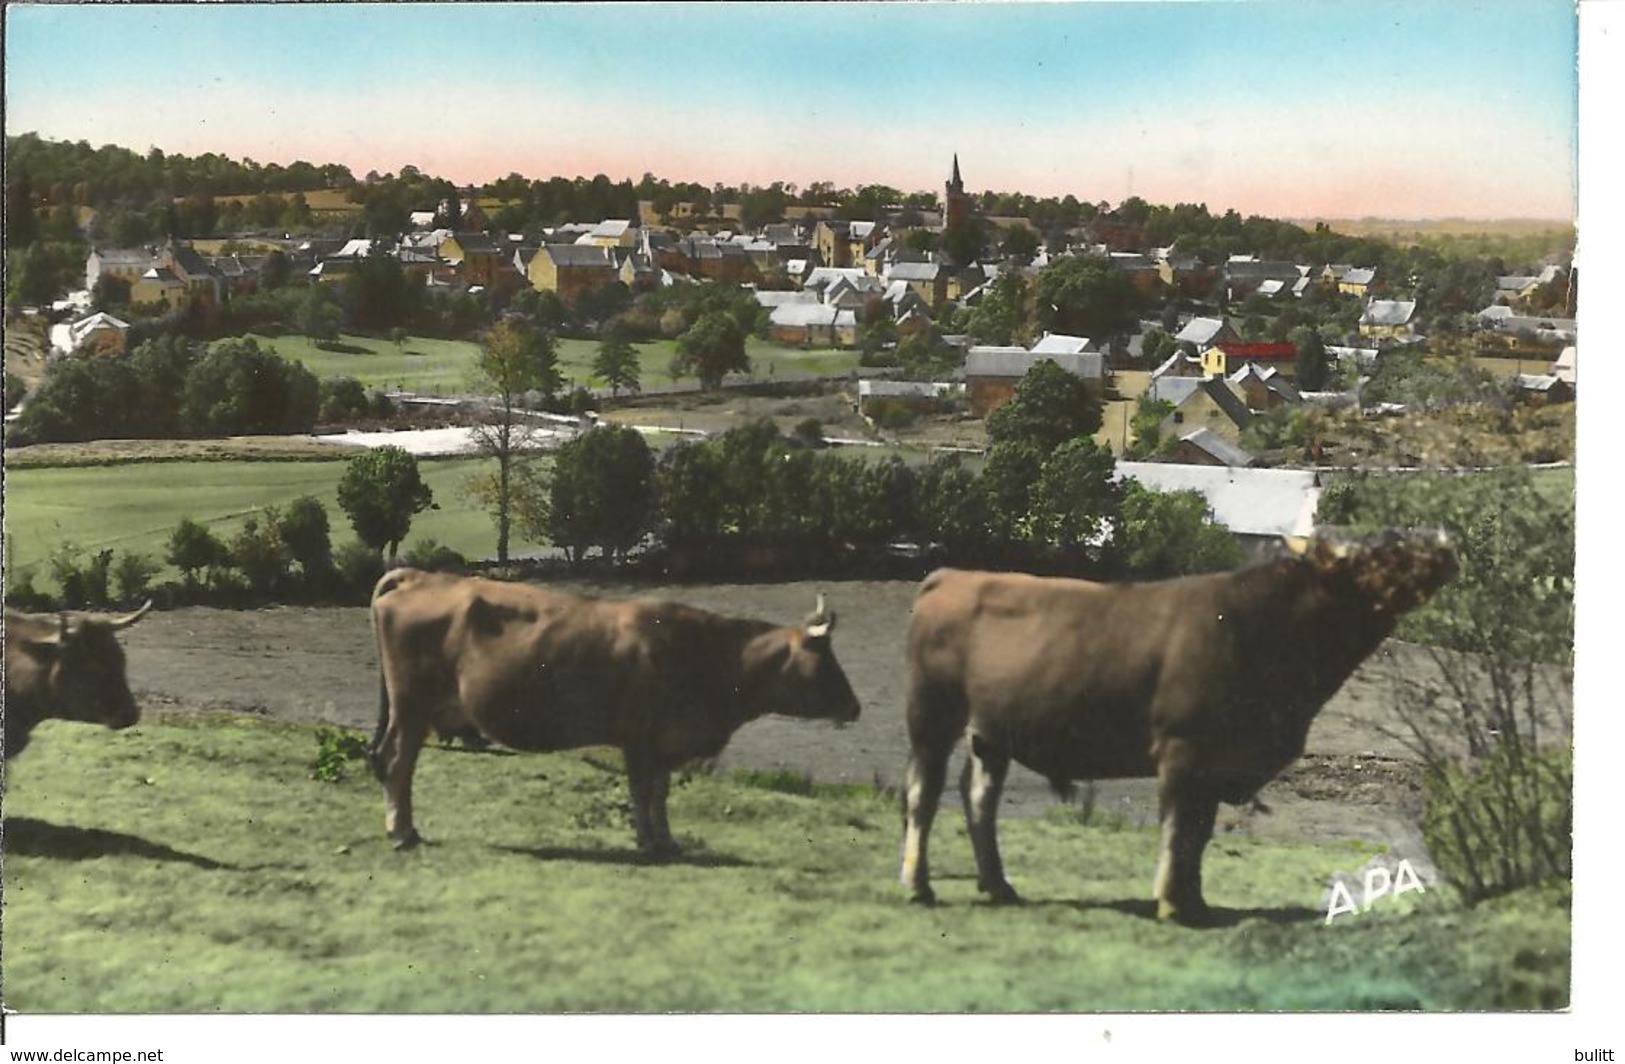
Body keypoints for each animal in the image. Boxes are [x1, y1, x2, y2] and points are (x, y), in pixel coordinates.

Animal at [370, 565, 864, 857]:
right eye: (825, 661)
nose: (855, 706)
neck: (708, 655)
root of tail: (418, 575)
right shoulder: (640, 739)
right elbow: (642, 792)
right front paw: (648, 840)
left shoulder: (664, 743)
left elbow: (659, 793)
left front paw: (666, 839)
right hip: (412, 706)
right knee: (398, 764)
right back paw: (402, 832)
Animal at [903, 532, 1462, 922]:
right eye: (1374, 554)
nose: (1445, 547)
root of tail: (953, 575)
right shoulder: (1183, 749)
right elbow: (1178, 830)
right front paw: (1173, 906)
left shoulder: (1215, 763)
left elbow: (1199, 833)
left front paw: (1195, 902)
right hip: (932, 715)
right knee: (923, 795)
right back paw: (918, 887)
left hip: (991, 731)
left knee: (979, 798)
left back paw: (999, 886)